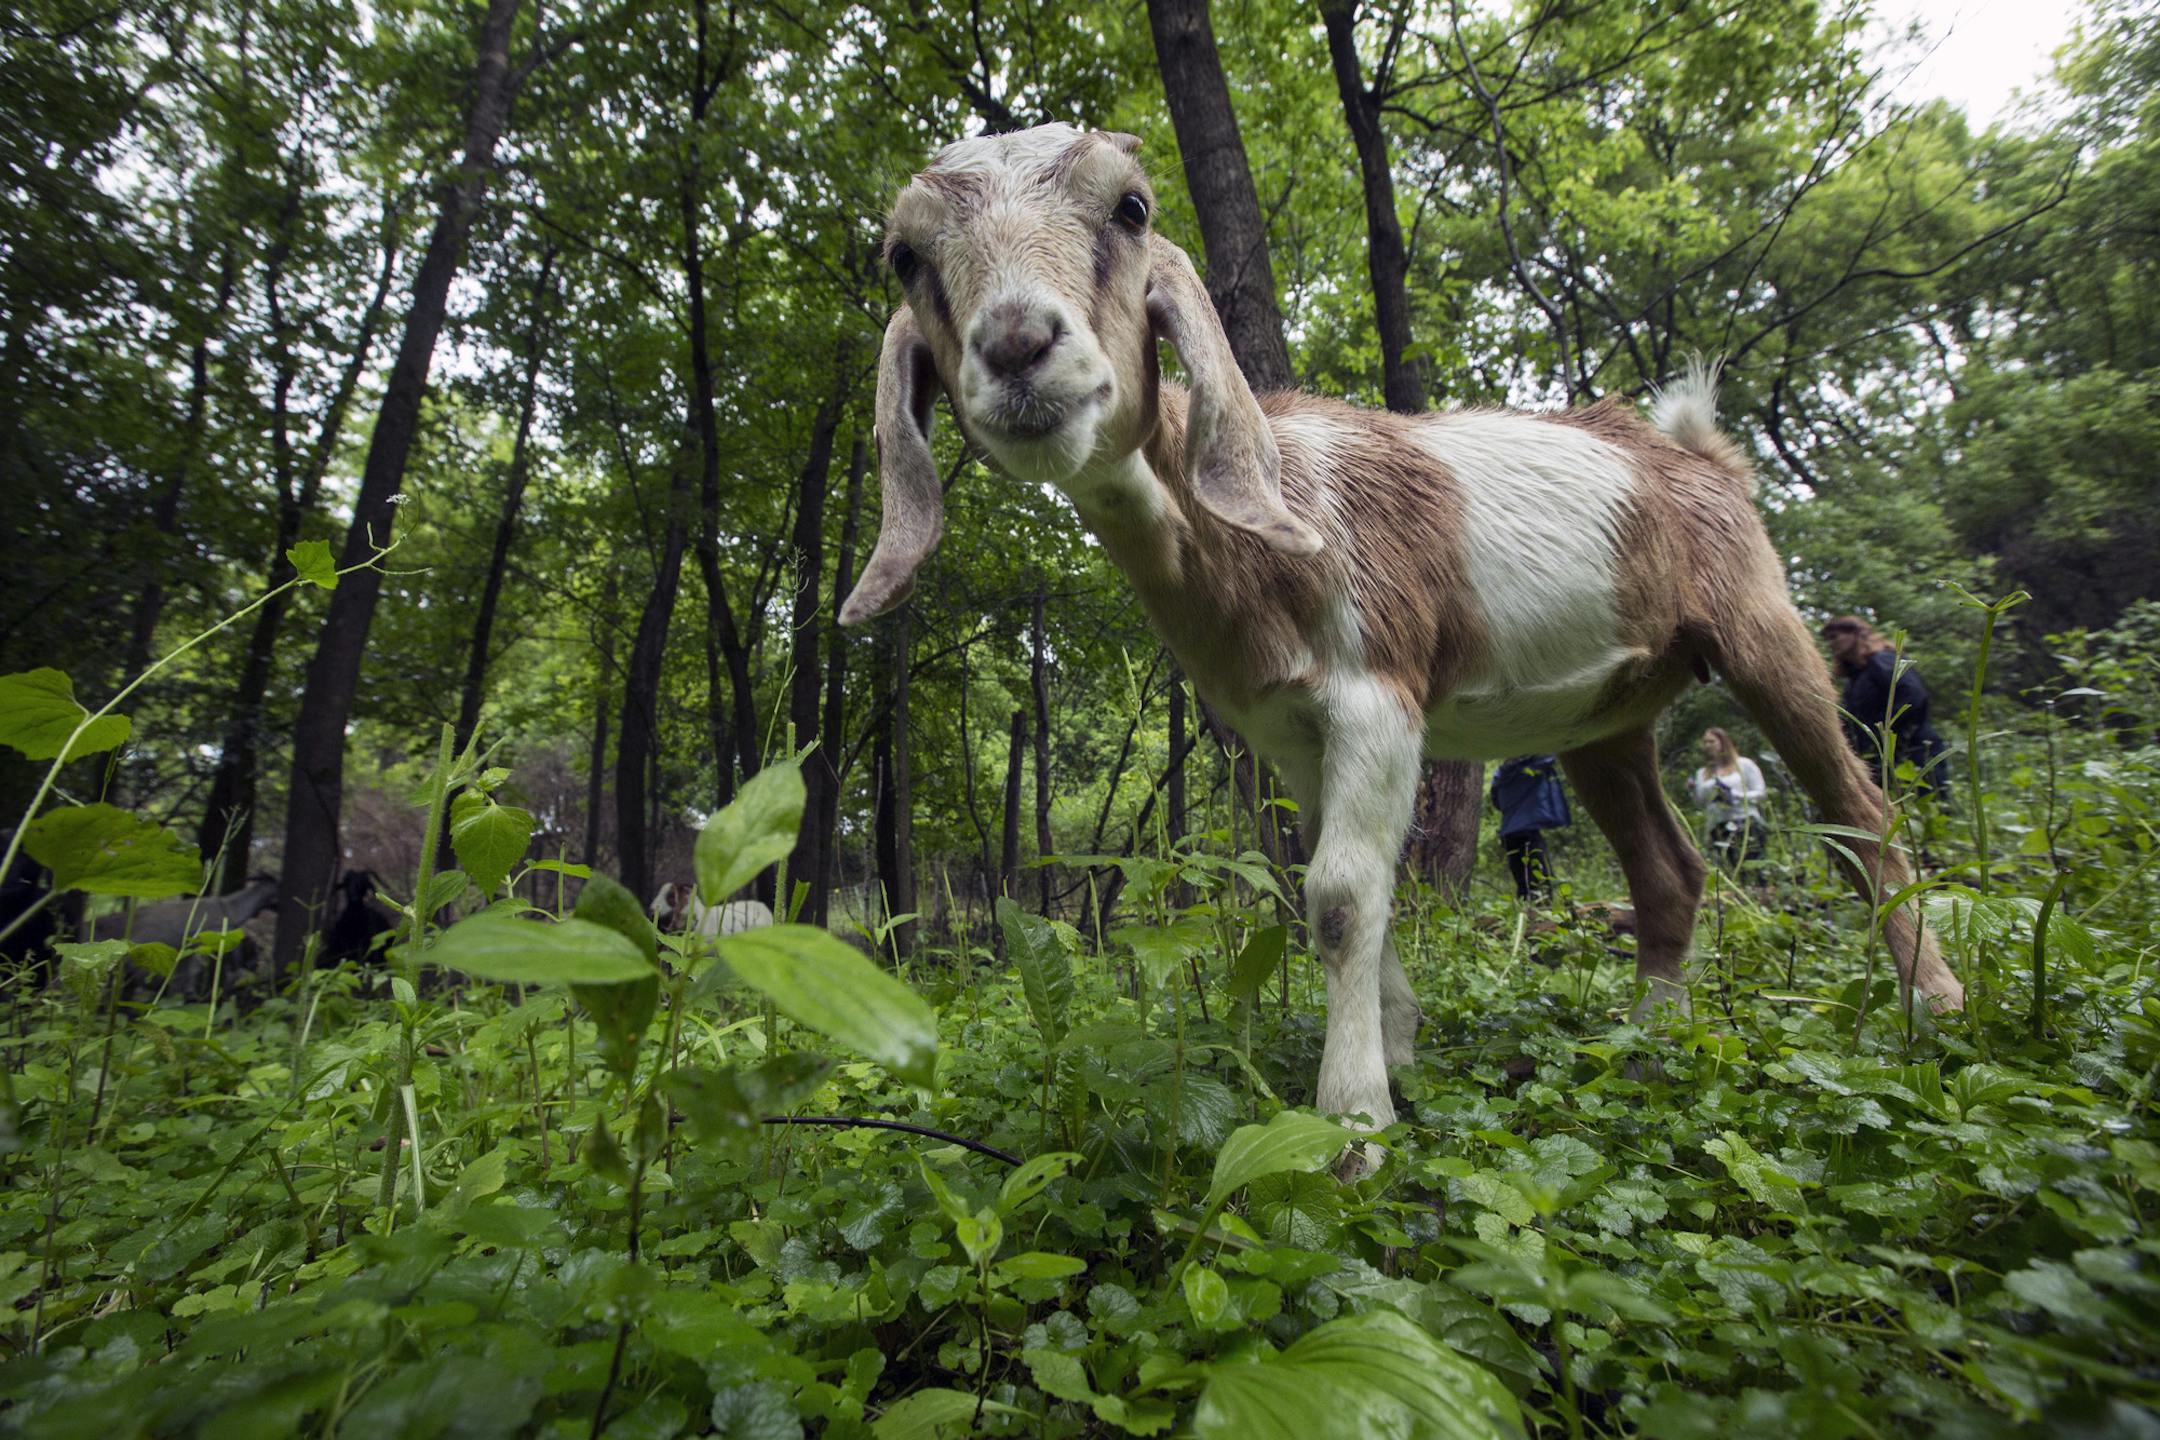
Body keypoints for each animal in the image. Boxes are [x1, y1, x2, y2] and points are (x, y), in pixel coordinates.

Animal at [838, 123, 1964, 1144]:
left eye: (1131, 208)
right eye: (906, 257)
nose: (1019, 346)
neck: (1269, 524)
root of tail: (1702, 456)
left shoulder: (1378, 689)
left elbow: (1340, 895)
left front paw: (1355, 1121)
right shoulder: (1293, 732)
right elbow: (1343, 891)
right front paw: (1402, 1046)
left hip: (1762, 628)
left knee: (1862, 819)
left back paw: (1938, 1012)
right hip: (1606, 716)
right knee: (1669, 871)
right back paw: (1652, 1039)